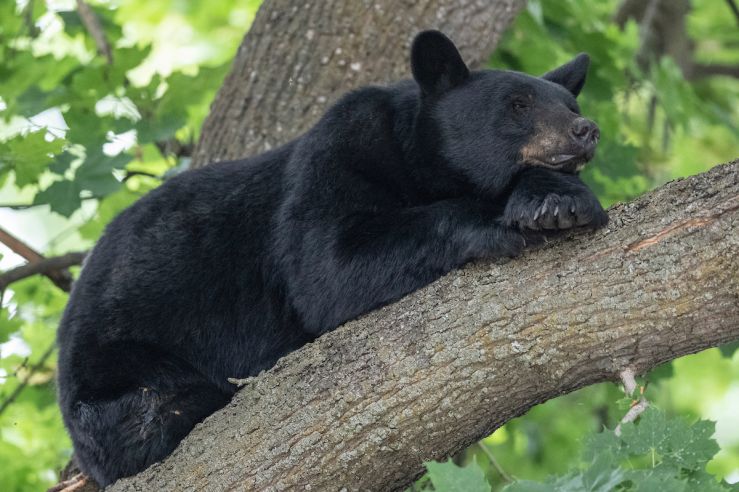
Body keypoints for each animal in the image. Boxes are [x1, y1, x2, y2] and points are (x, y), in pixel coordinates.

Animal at [56, 31, 608, 488]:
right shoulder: (343, 147)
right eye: (518, 103)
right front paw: (502, 218)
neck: (419, 162)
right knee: (152, 409)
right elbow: (327, 268)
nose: (586, 129)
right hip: (115, 357)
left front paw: (558, 200)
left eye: (569, 101)